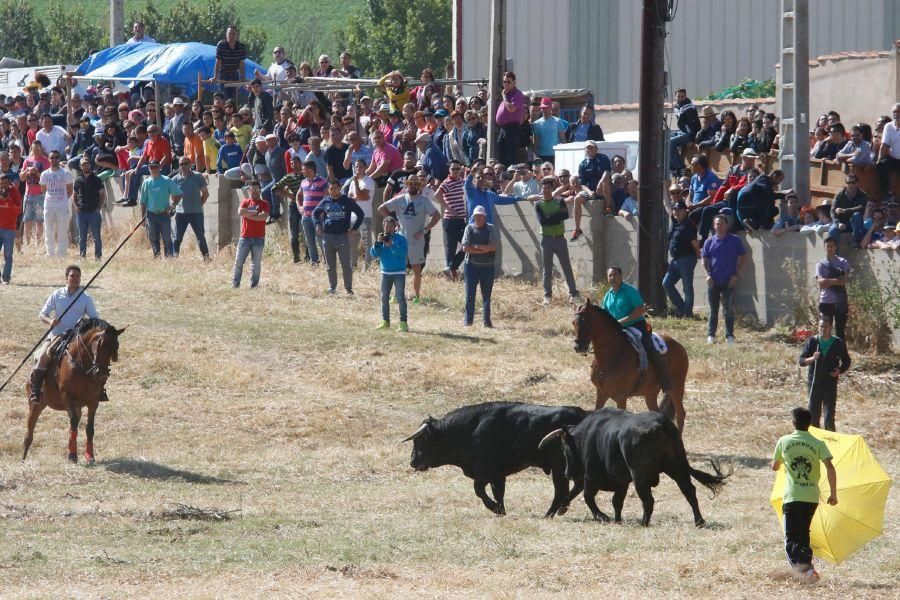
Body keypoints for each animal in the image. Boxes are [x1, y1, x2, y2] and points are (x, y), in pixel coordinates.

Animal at [22, 318, 124, 464]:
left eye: (116, 347)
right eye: (101, 344)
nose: (102, 374)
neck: (83, 365)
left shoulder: (93, 400)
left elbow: (89, 428)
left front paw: (89, 456)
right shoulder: (67, 397)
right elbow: (74, 423)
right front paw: (72, 456)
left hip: (77, 406)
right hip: (35, 405)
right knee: (29, 432)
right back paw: (23, 458)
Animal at [402, 404, 592, 516]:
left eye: (420, 440)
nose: (413, 461)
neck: (470, 429)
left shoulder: (484, 472)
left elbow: (479, 490)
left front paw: (494, 508)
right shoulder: (497, 475)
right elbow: (498, 492)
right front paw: (501, 510)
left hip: (560, 467)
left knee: (561, 489)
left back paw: (550, 513)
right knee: (577, 485)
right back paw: (562, 508)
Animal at [536, 408, 728, 524]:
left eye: (565, 448)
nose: (567, 473)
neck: (585, 436)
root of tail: (661, 425)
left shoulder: (591, 476)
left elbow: (589, 497)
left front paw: (602, 516)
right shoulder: (622, 482)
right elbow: (617, 502)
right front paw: (617, 520)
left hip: (640, 477)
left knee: (648, 500)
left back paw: (644, 523)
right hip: (677, 467)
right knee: (689, 491)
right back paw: (699, 521)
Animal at [572, 300, 692, 432]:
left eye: (586, 321)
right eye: (573, 322)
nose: (578, 347)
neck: (613, 354)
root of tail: (680, 346)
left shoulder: (621, 397)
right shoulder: (601, 393)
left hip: (677, 387)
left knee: (681, 414)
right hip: (651, 393)